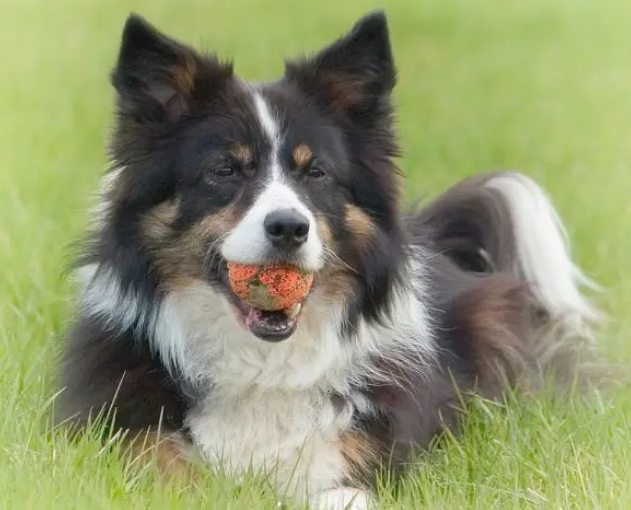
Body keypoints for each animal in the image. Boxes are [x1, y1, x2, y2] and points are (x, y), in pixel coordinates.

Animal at [58, 9, 604, 508]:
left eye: (315, 172)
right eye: (225, 170)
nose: (288, 227)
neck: (262, 363)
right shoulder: (122, 427)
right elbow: (165, 469)